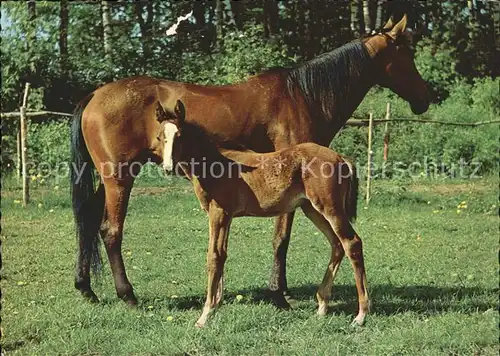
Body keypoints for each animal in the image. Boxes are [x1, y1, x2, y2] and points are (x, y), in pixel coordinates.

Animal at [158, 101, 370, 328]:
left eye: (179, 135)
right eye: (160, 137)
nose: (168, 168)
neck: (216, 163)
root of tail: (341, 157)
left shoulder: (218, 213)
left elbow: (213, 257)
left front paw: (205, 315)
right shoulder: (227, 217)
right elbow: (222, 255)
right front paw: (216, 306)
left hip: (330, 209)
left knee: (352, 243)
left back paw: (361, 315)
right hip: (312, 209)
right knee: (337, 245)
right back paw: (322, 307)